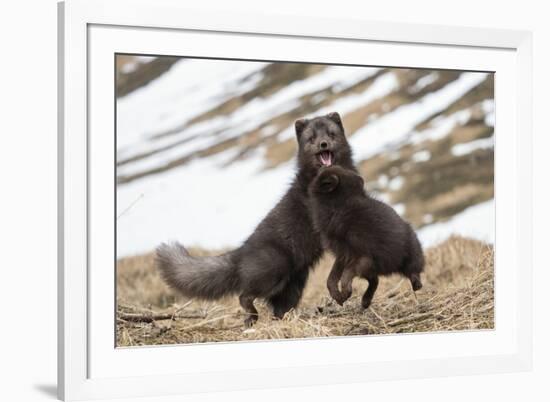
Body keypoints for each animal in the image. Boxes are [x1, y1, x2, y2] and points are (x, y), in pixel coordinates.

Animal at [310, 166, 426, 308]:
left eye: (322, 173)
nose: (322, 166)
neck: (341, 205)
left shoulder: (362, 256)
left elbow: (345, 275)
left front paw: (345, 293)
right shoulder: (343, 255)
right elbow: (331, 278)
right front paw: (339, 296)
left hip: (408, 256)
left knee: (413, 274)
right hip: (370, 268)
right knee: (375, 281)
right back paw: (365, 301)